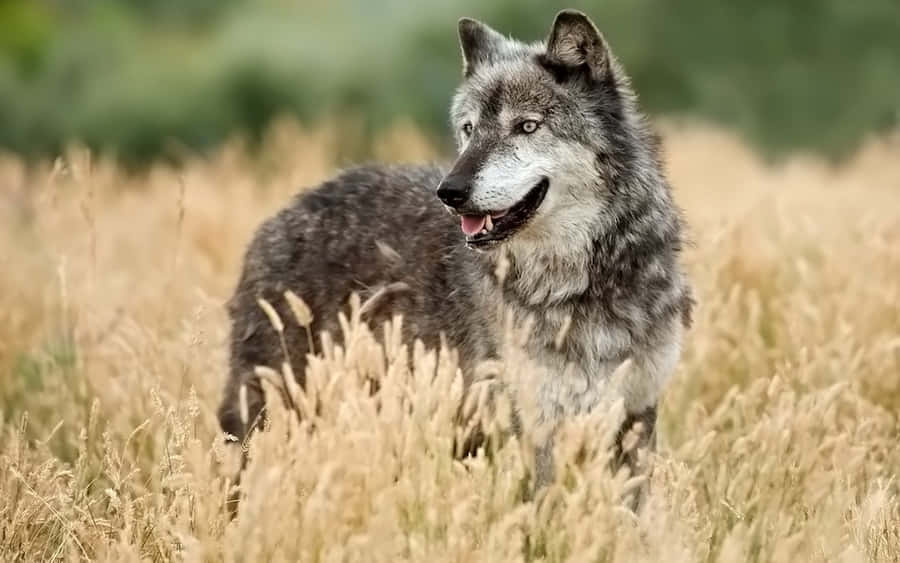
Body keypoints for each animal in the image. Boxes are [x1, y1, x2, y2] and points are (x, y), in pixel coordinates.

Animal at [218, 10, 693, 502]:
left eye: (527, 126)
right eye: (469, 129)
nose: (450, 192)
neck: (580, 280)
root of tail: (280, 216)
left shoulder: (635, 416)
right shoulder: (534, 424)